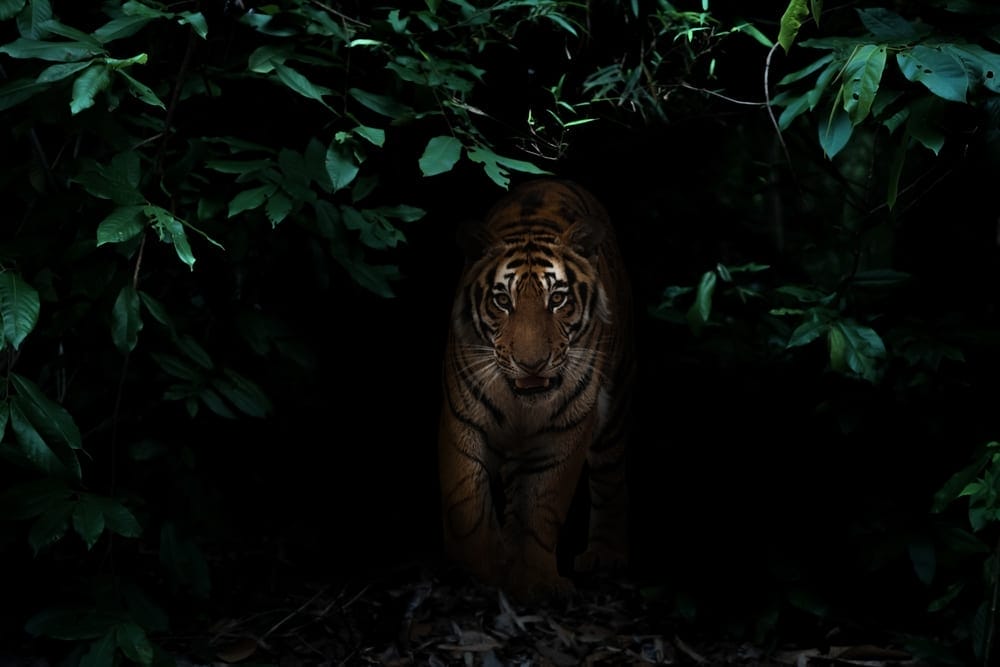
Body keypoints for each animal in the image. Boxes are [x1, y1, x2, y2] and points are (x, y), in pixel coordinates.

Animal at [438, 178, 634, 602]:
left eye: (557, 298)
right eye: (501, 300)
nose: (532, 364)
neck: (521, 404)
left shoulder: (565, 432)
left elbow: (542, 507)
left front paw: (537, 581)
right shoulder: (462, 422)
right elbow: (467, 503)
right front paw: (483, 568)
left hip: (616, 402)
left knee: (611, 475)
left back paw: (606, 555)